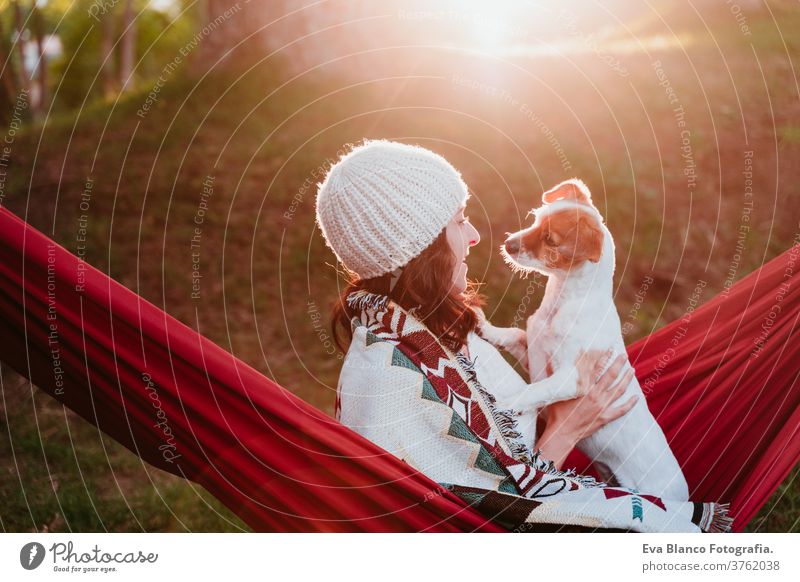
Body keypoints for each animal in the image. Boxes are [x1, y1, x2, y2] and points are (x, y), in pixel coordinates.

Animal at [478, 179, 692, 502]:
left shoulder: (571, 377)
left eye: (550, 240)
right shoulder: (535, 353)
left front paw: (503, 405)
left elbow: (534, 391)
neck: (563, 301)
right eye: (535, 219)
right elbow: (515, 334)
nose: (508, 244)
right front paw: (486, 327)